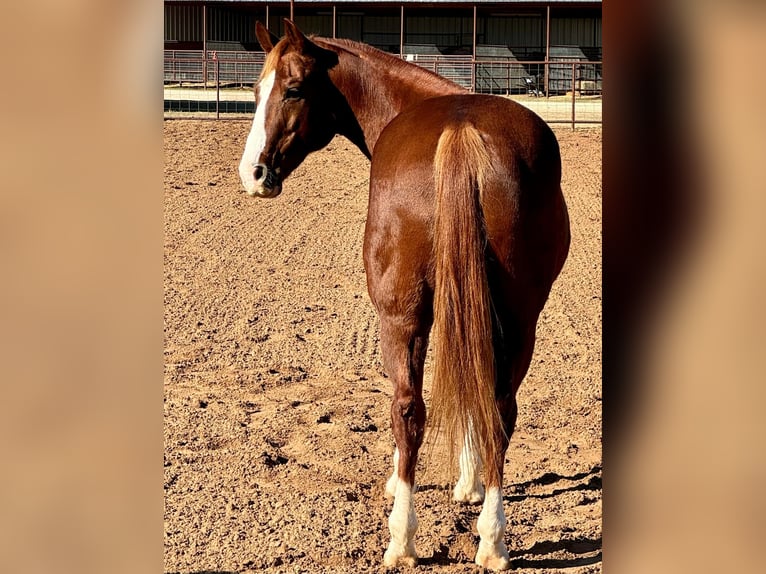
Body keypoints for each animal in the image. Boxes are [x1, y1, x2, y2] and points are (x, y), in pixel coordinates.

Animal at [238, 19, 570, 571]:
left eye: (293, 89)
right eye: (256, 91)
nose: (254, 173)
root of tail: (461, 133)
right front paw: (469, 483)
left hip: (400, 317)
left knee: (407, 409)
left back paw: (403, 538)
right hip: (520, 318)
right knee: (499, 409)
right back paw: (492, 541)